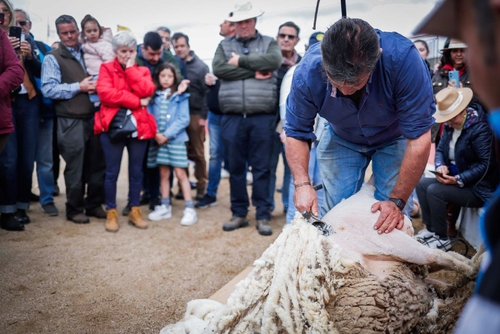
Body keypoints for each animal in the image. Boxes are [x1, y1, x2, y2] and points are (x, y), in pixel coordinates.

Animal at [161, 183, 480, 334]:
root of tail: (362, 193)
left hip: (390, 240)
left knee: (446, 260)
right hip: (401, 257)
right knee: (439, 268)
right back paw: (458, 282)